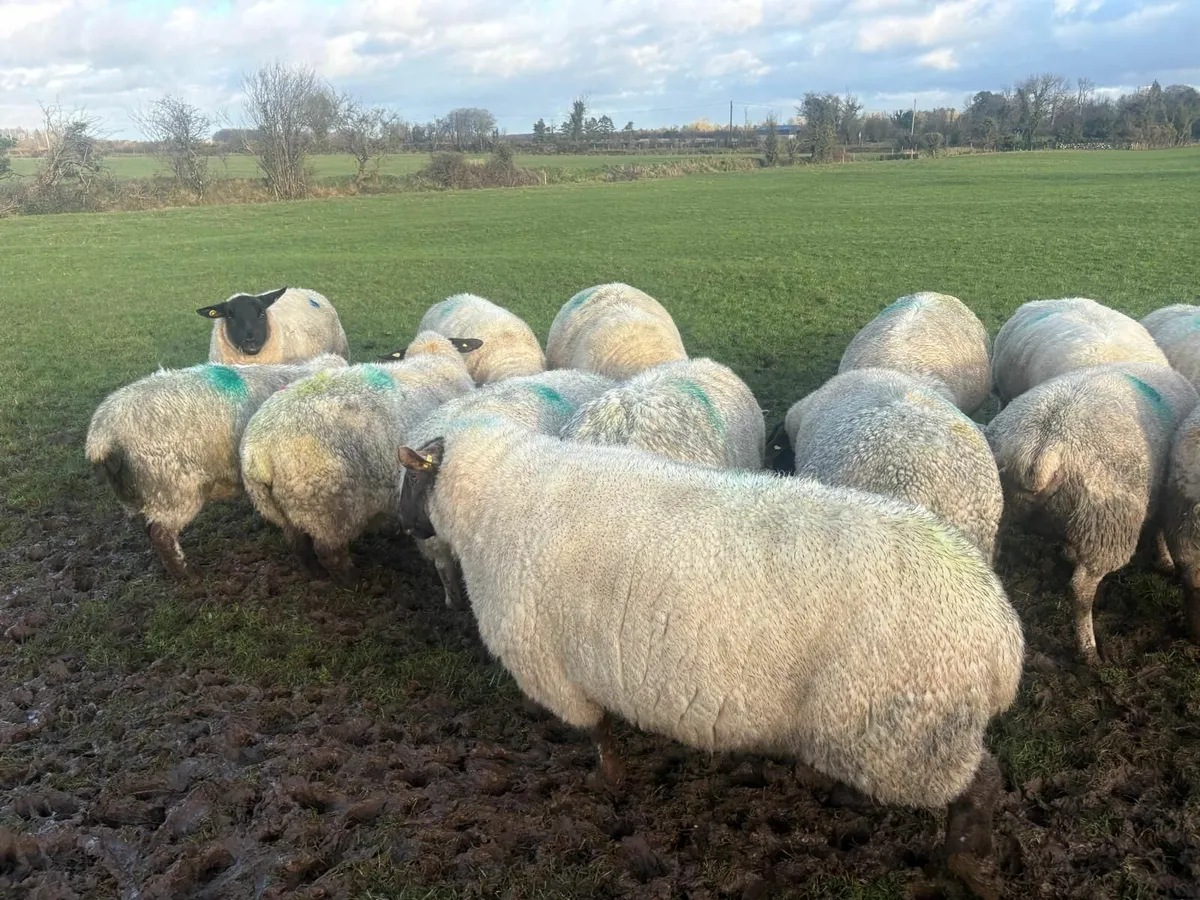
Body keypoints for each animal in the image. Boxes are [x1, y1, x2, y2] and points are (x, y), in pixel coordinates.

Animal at [84, 353, 350, 579]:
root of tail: (102, 433)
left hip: (140, 491)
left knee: (148, 529)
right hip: (171, 485)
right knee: (161, 534)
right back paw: (189, 577)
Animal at [238, 331, 480, 580]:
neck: (434, 358)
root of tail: (257, 451)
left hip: (285, 509)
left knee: (298, 545)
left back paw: (317, 576)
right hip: (325, 509)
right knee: (329, 552)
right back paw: (351, 579)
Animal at [396, 417, 1024, 867]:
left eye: (411, 476)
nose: (404, 525)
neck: (495, 495)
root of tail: (1001, 633)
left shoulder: (552, 666)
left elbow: (598, 733)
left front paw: (608, 784)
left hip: (909, 731)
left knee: (980, 784)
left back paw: (964, 863)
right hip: (886, 730)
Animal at [985, 362, 1198, 664]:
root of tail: (1043, 446)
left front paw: (1068, 552)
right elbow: (1160, 532)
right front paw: (1166, 561)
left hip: (1005, 508)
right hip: (1106, 524)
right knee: (1081, 589)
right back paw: (1089, 650)